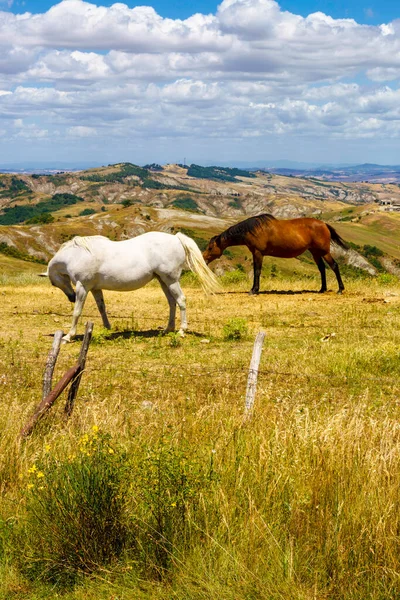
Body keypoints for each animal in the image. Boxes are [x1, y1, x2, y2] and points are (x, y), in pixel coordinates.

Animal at [42, 231, 220, 342]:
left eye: (53, 282)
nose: (71, 298)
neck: (78, 254)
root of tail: (176, 238)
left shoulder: (82, 287)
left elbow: (77, 312)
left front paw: (68, 336)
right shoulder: (95, 288)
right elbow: (102, 307)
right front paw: (107, 327)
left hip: (171, 280)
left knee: (181, 300)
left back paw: (182, 330)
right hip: (163, 281)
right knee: (172, 302)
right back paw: (168, 329)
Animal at [203, 214, 346, 294]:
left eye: (210, 247)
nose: (204, 258)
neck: (252, 230)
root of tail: (324, 224)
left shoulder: (258, 253)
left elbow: (257, 271)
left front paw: (254, 290)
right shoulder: (255, 253)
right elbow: (256, 271)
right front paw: (254, 289)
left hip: (324, 252)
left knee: (334, 266)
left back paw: (340, 289)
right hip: (315, 252)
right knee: (322, 268)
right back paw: (322, 289)